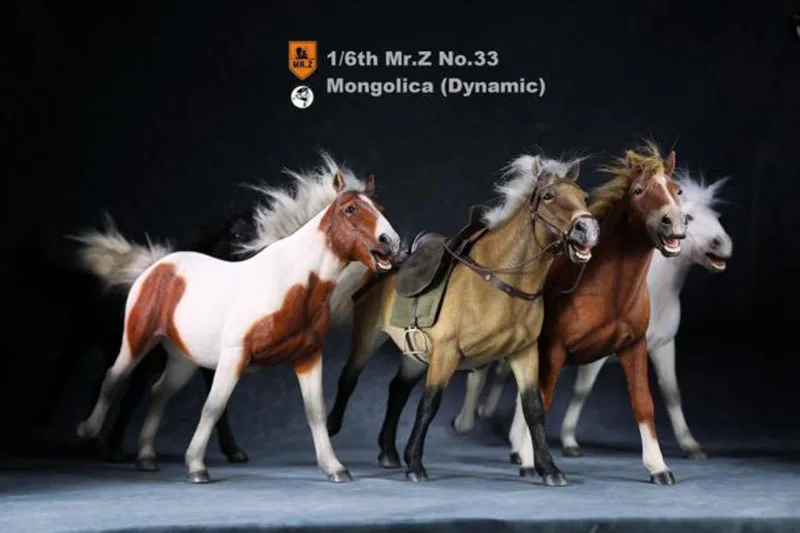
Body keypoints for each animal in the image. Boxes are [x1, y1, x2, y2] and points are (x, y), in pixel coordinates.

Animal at [76, 158, 401, 483]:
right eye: (350, 209)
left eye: (381, 208)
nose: (391, 242)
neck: (289, 283)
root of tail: (157, 266)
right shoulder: (234, 355)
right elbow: (214, 406)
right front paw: (196, 467)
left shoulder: (308, 357)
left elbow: (315, 411)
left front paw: (335, 468)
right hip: (137, 341)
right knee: (113, 378)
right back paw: (89, 434)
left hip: (182, 360)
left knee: (159, 393)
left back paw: (145, 456)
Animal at [326, 153, 599, 486]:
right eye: (548, 196)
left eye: (582, 196)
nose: (588, 229)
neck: (499, 280)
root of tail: (384, 264)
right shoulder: (446, 352)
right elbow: (429, 404)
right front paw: (415, 464)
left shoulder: (524, 353)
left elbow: (533, 408)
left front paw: (549, 469)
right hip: (368, 338)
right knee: (349, 378)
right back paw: (332, 428)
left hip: (414, 355)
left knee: (397, 391)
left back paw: (388, 452)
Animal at [454, 172, 733, 466]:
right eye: (689, 217)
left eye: (716, 216)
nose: (723, 244)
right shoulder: (597, 354)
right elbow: (581, 390)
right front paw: (562, 442)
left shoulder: (663, 345)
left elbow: (671, 393)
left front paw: (691, 445)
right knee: (482, 372)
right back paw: (468, 422)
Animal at [508, 143, 686, 485]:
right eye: (639, 190)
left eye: (677, 190)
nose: (674, 223)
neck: (606, 291)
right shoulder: (552, 350)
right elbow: (541, 401)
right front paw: (535, 462)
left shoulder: (633, 347)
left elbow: (643, 403)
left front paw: (658, 466)